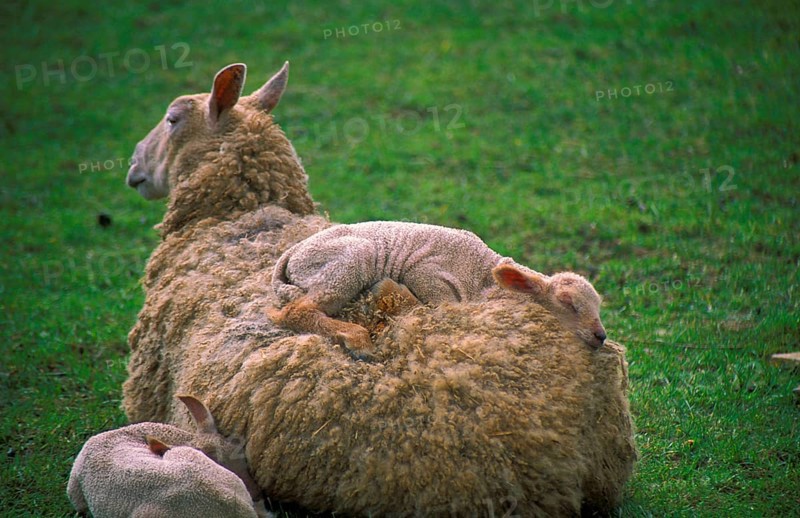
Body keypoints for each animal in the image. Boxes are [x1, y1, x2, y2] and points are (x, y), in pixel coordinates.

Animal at [268, 220, 607, 360]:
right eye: (567, 303)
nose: (601, 336)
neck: (484, 277)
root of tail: (291, 255)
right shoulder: (427, 273)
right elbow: (444, 306)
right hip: (349, 260)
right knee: (294, 312)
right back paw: (358, 341)